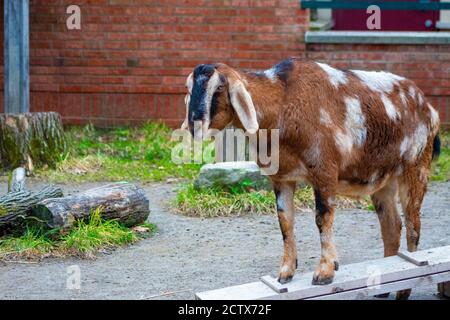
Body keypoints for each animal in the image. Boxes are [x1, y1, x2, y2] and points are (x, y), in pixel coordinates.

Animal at [181, 58, 442, 300]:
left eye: (219, 88)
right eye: (189, 88)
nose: (194, 126)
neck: (283, 101)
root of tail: (430, 108)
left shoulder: (324, 172)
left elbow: (322, 218)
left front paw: (325, 272)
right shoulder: (281, 178)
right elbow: (285, 221)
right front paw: (285, 272)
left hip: (416, 166)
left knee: (413, 225)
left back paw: (405, 285)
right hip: (382, 178)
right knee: (391, 226)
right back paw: (387, 281)